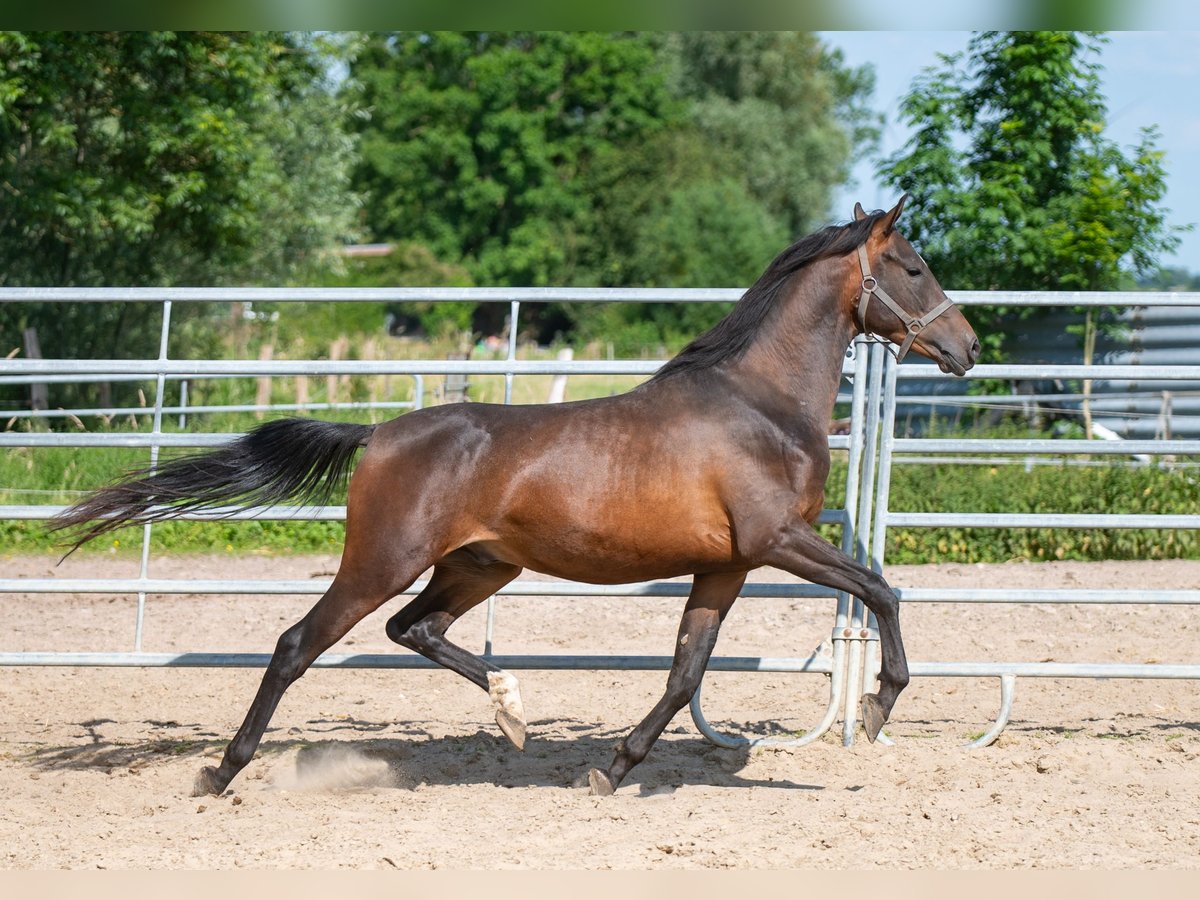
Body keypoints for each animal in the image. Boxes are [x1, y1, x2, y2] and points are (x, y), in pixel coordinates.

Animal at [51, 196, 979, 796]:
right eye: (914, 265)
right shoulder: (779, 540)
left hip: (479, 565)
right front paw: (878, 703)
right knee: (297, 644)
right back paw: (222, 771)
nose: (967, 347)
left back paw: (512, 709)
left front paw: (612, 769)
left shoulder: (728, 566)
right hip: (383, 561)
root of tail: (378, 434)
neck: (759, 403)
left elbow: (687, 672)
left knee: (413, 630)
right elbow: (883, 591)